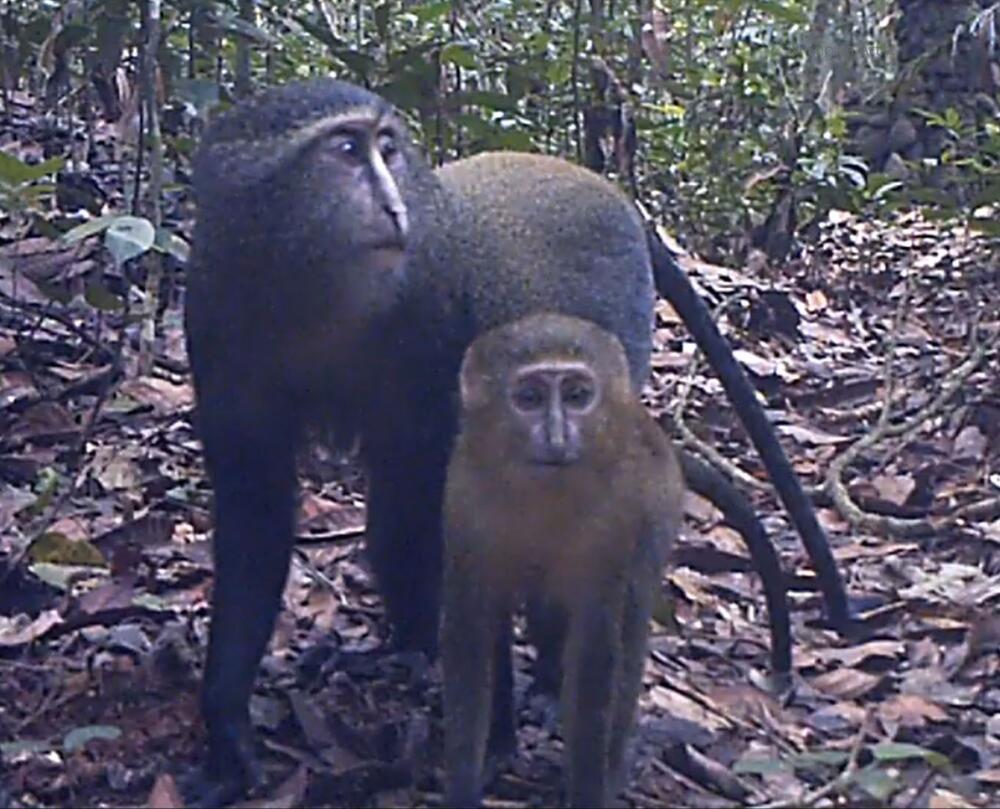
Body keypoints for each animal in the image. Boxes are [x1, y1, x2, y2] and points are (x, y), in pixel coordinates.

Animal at [446, 310, 688, 808]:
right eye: (529, 398)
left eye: (577, 396)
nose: (557, 437)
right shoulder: (463, 501)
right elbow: (470, 633)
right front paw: (462, 786)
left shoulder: (619, 519)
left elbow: (597, 651)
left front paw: (588, 789)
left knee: (629, 624)